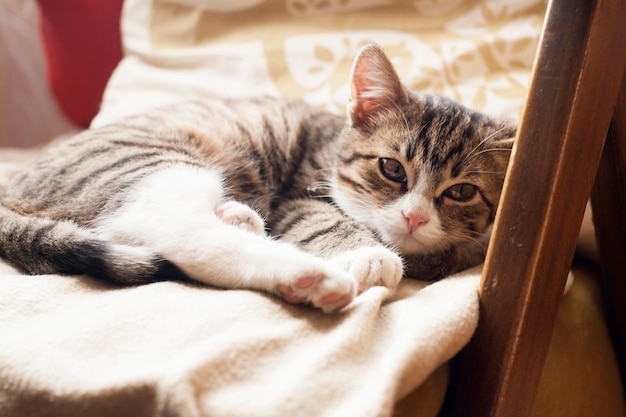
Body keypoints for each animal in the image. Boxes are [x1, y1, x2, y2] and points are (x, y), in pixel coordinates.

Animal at [0, 44, 516, 312]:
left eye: (462, 192)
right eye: (392, 168)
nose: (413, 217)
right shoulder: (299, 194)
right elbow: (324, 219)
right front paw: (369, 253)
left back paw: (242, 220)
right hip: (146, 164)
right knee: (184, 234)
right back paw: (309, 276)